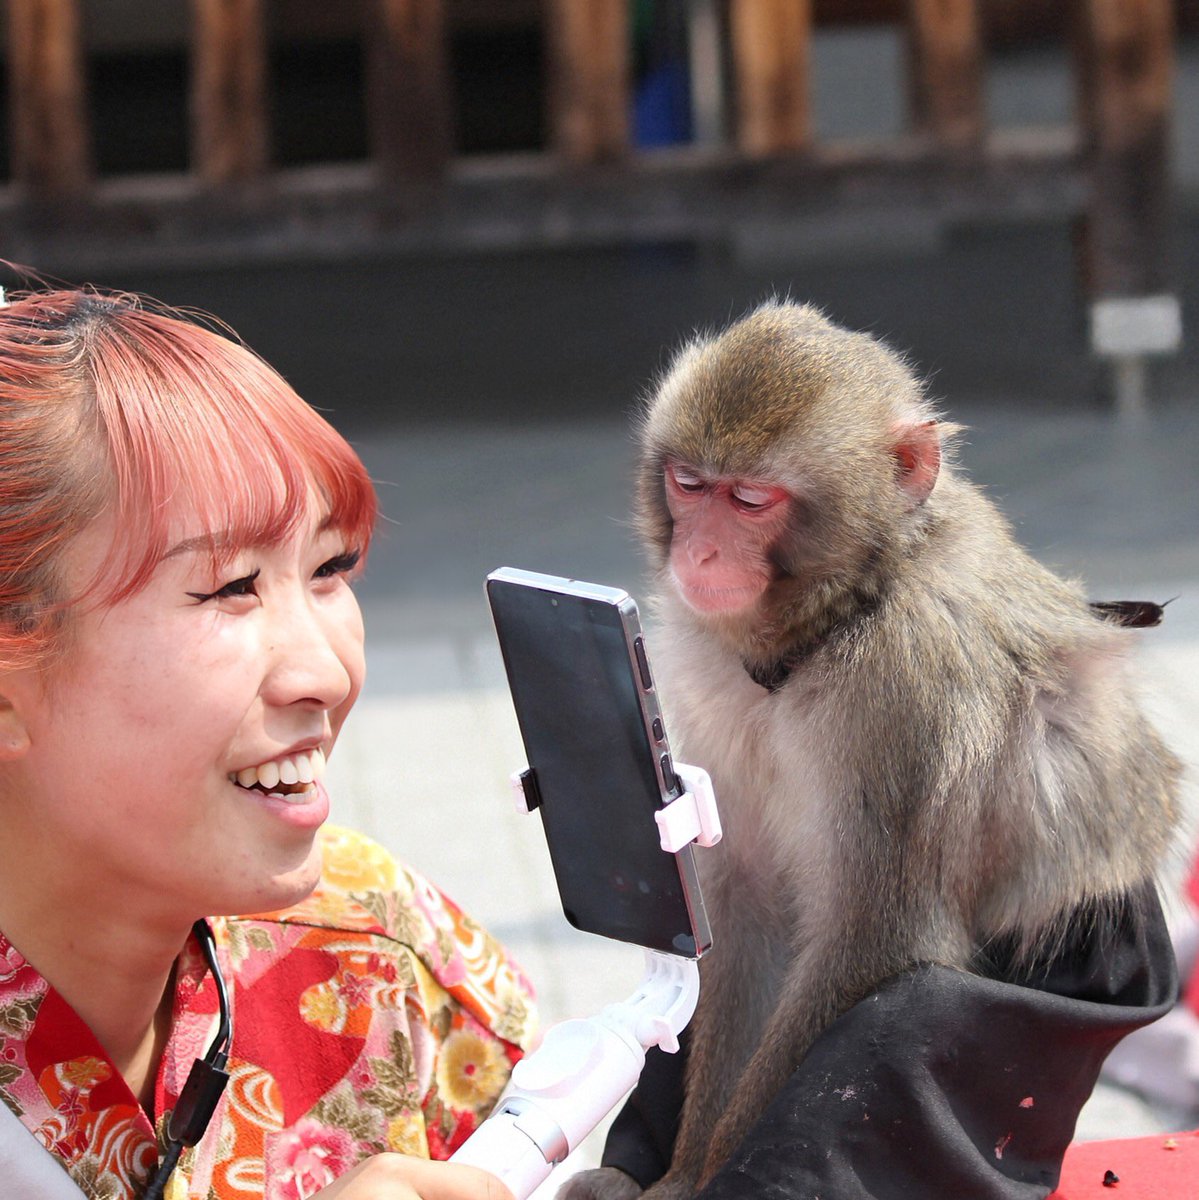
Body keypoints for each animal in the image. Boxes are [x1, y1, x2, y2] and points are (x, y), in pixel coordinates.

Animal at [561, 301, 1181, 1200]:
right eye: (689, 485)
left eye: (751, 500)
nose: (698, 553)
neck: (837, 616)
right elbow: (748, 911)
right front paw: (679, 1172)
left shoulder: (907, 692)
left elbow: (869, 943)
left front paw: (699, 1183)